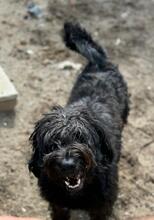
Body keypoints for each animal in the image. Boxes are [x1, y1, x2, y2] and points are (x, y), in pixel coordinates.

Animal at [28, 22, 129, 220]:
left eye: (81, 138)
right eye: (53, 144)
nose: (68, 165)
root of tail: (99, 62)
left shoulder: (102, 206)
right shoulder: (57, 204)